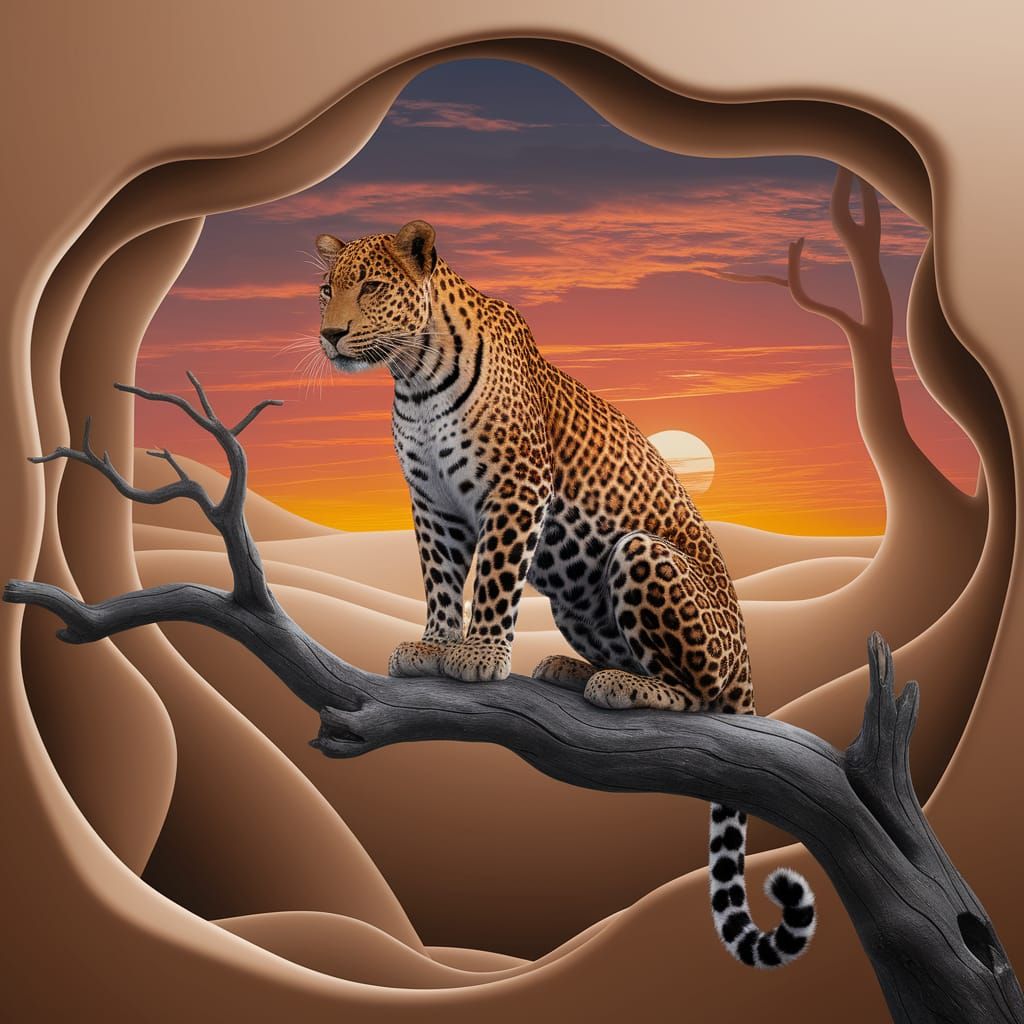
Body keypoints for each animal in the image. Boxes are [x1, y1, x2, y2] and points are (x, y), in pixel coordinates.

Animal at [313, 220, 817, 968]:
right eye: (327, 290)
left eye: (371, 286)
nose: (330, 334)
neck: (414, 378)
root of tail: (749, 649)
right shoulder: (432, 506)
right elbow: (440, 580)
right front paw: (431, 646)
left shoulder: (516, 489)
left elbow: (494, 577)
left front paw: (477, 657)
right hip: (575, 600)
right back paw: (574, 668)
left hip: (639, 556)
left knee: (699, 694)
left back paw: (625, 686)